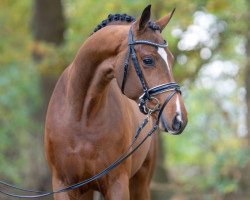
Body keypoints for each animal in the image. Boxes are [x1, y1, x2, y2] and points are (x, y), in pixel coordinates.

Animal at [44, 4, 188, 200]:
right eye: (148, 60)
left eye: (171, 59)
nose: (179, 117)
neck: (81, 116)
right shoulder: (63, 186)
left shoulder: (117, 184)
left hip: (140, 184)